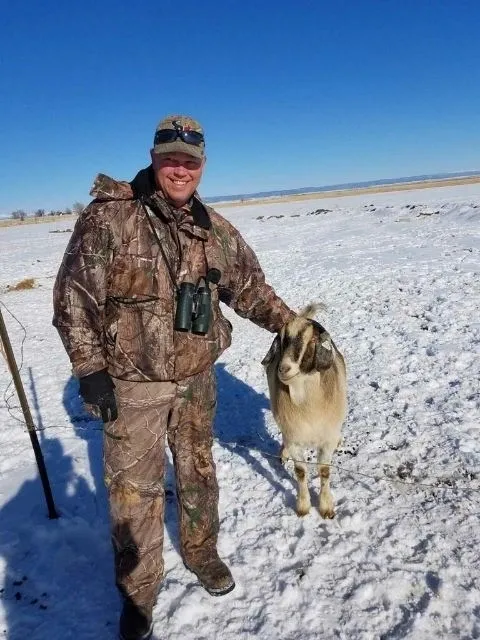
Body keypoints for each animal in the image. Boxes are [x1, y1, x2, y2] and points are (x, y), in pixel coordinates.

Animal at [260, 302, 346, 516]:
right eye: (281, 340)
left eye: (312, 340)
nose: (284, 369)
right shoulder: (294, 440)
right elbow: (300, 472)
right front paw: (303, 507)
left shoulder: (326, 440)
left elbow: (324, 471)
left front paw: (326, 508)